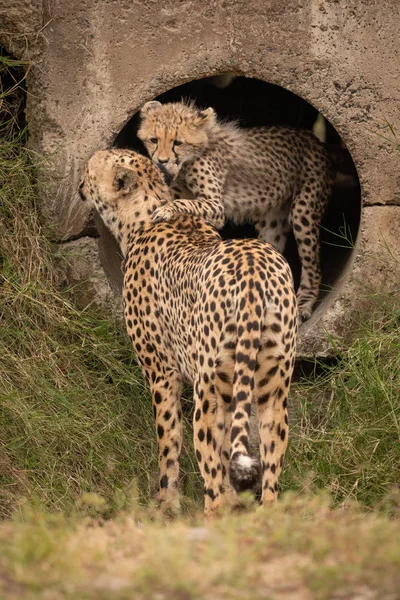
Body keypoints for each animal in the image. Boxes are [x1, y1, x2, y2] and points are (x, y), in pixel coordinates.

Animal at [79, 149, 296, 516]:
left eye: (90, 166)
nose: (79, 183)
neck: (143, 216)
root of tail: (253, 264)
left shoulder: (162, 373)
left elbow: (168, 440)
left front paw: (167, 501)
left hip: (209, 392)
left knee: (209, 464)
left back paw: (210, 516)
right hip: (272, 388)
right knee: (269, 469)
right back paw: (266, 515)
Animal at [139, 99, 332, 324]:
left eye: (177, 142)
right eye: (154, 139)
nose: (161, 161)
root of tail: (314, 139)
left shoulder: (215, 206)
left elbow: (186, 204)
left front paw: (165, 210)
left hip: (303, 211)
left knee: (313, 266)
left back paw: (303, 304)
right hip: (272, 220)